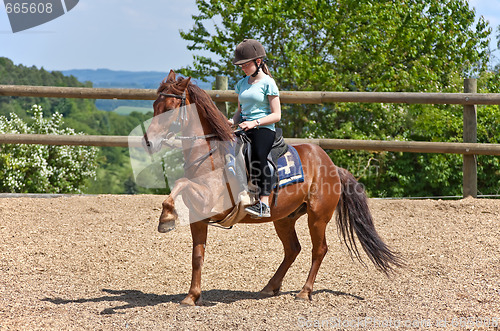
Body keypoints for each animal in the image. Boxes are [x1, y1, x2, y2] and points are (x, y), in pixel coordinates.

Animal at [145, 70, 402, 306]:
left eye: (170, 108)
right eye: (155, 104)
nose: (149, 142)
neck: (210, 154)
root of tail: (331, 165)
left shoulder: (212, 200)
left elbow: (181, 183)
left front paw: (166, 218)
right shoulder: (199, 217)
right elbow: (197, 256)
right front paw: (191, 296)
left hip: (318, 217)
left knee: (319, 250)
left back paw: (304, 292)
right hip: (285, 218)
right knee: (293, 249)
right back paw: (270, 287)